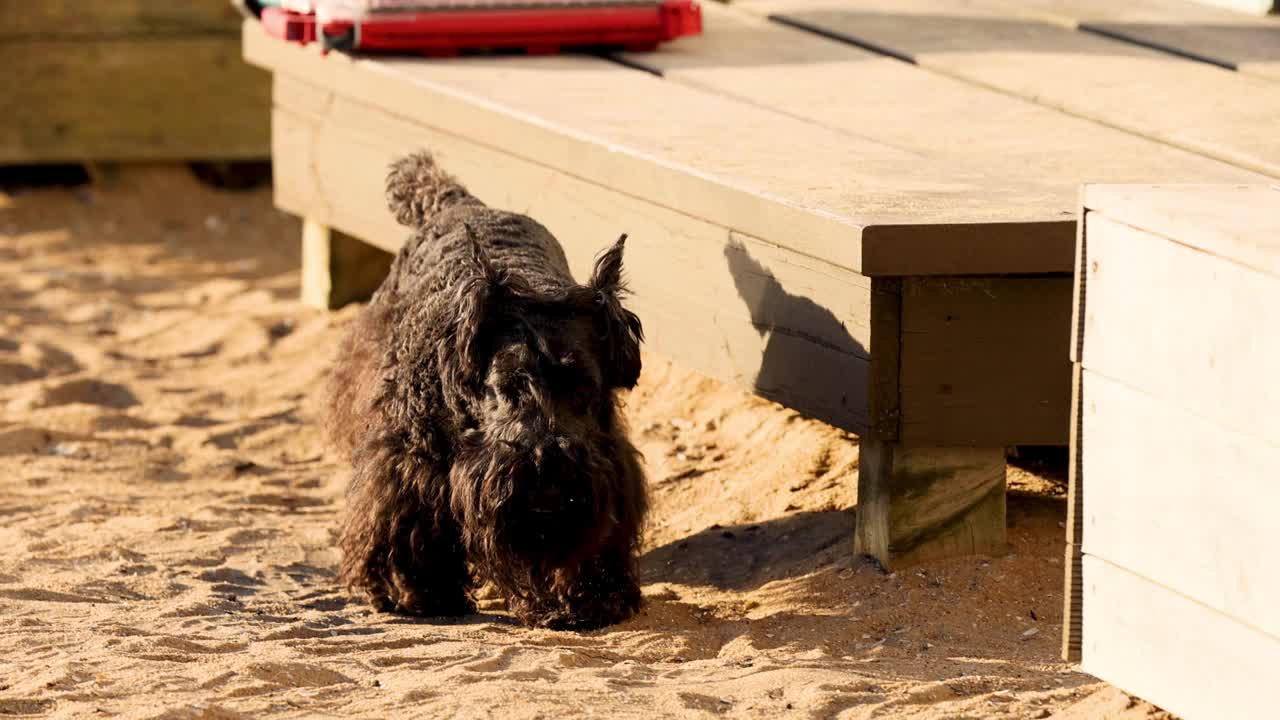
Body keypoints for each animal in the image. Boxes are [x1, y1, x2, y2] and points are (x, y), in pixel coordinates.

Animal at [330, 151, 650, 627]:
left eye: (583, 389)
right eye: (507, 384)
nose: (548, 472)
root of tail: (458, 201)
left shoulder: (607, 464)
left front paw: (591, 597)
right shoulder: (409, 456)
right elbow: (406, 516)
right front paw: (415, 591)